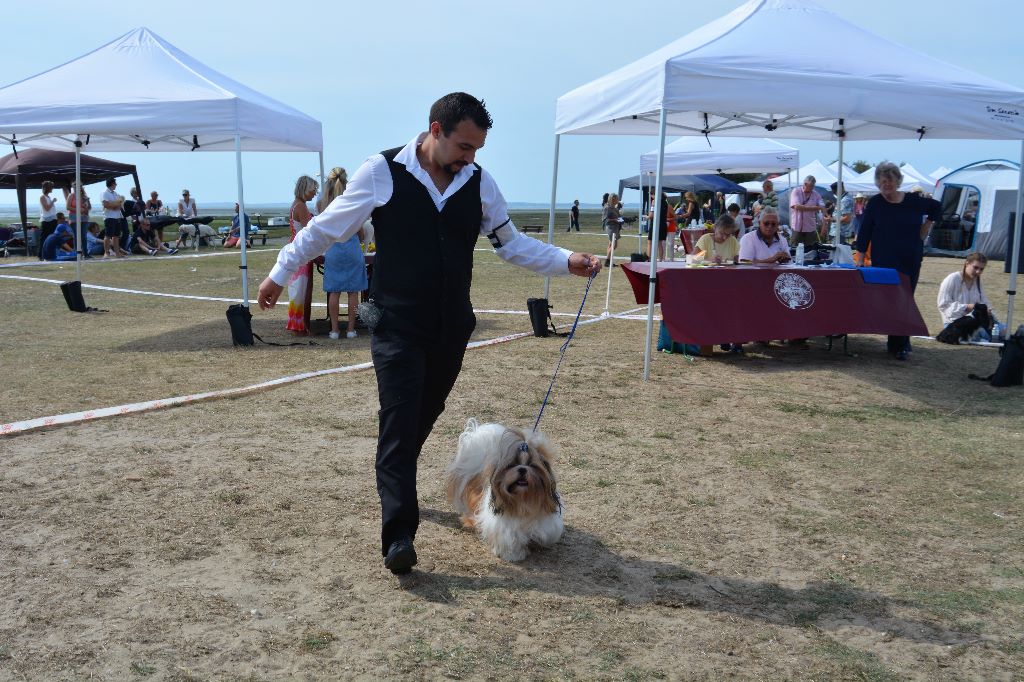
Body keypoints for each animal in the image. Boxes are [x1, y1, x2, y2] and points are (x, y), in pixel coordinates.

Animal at [444, 417, 565, 561]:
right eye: (512, 465)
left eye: (531, 465)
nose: (522, 469)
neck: (524, 499)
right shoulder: (505, 529)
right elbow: (510, 542)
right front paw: (515, 555)